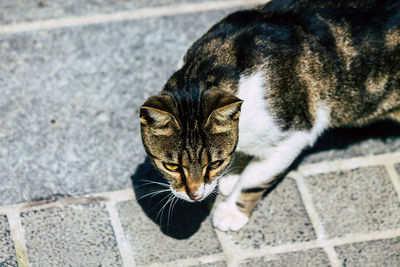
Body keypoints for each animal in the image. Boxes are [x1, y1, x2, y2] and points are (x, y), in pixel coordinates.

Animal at [138, 0, 400, 231]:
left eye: (214, 163)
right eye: (171, 166)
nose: (195, 195)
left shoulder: (294, 135)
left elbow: (253, 180)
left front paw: (232, 210)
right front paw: (232, 175)